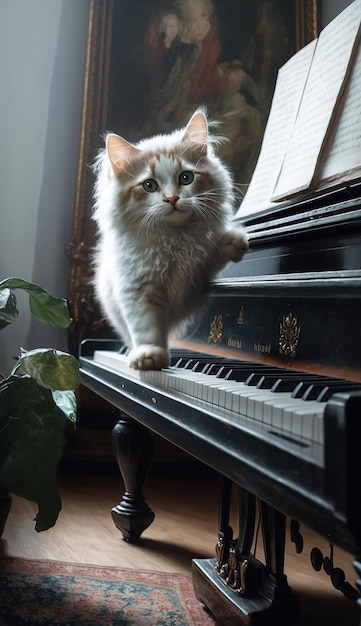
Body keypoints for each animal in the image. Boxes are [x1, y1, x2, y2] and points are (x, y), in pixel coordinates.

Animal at [92, 109, 248, 368]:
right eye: (149, 185)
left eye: (186, 178)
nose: (172, 199)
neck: (174, 239)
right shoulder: (137, 289)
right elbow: (147, 328)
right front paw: (149, 356)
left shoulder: (199, 274)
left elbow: (214, 252)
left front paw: (233, 240)